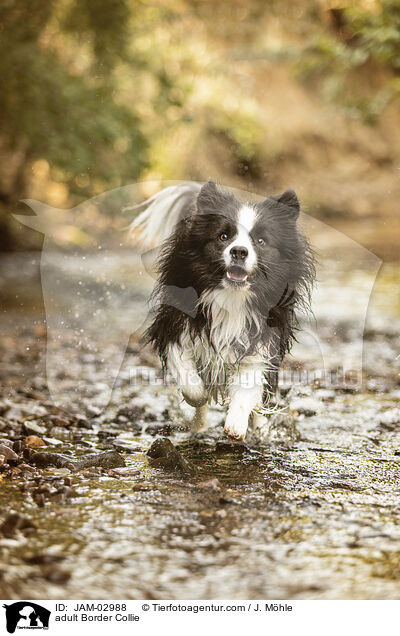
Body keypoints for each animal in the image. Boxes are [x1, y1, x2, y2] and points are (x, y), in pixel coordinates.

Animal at [130, 181, 314, 440]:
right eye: (223, 236)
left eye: (261, 241)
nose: (239, 251)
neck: (232, 297)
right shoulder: (174, 324)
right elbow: (188, 377)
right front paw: (200, 395)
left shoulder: (262, 338)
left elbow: (249, 382)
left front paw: (236, 424)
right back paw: (198, 425)